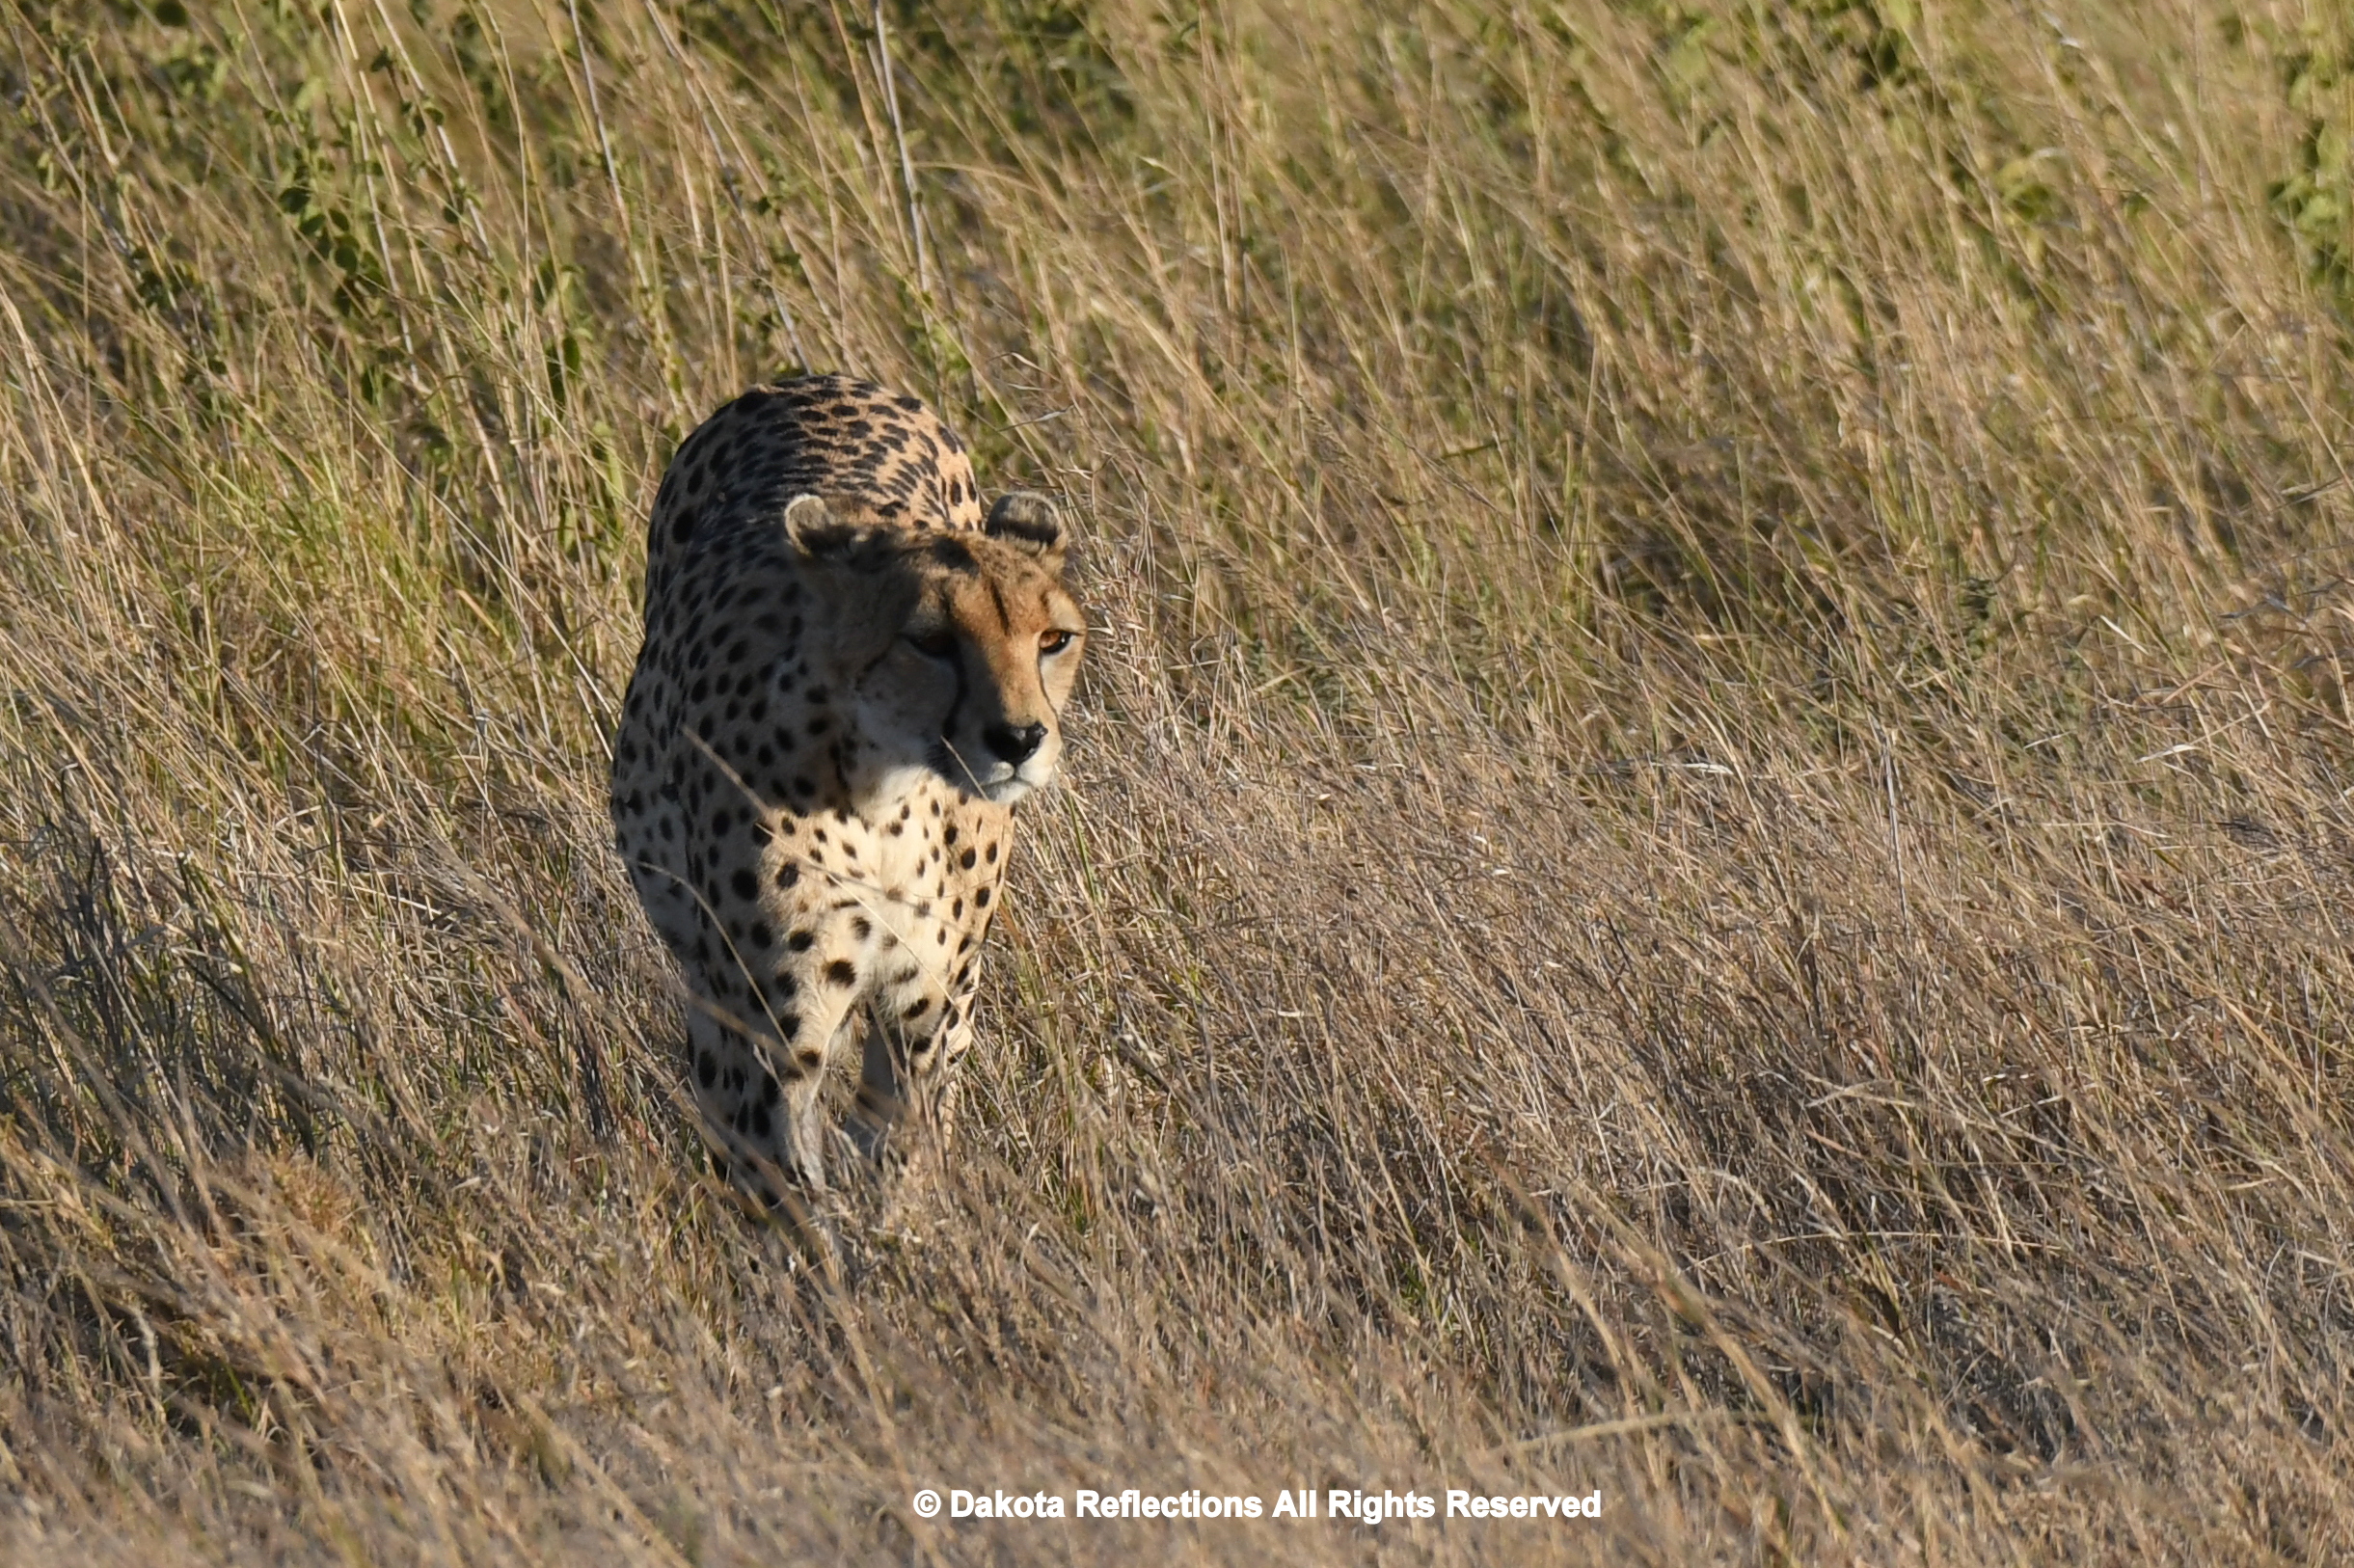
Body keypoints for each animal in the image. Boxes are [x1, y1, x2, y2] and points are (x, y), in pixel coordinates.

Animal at [607, 374, 1085, 1202]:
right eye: (931, 641)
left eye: (1052, 640)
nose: (1020, 739)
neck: (886, 792)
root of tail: (811, 380)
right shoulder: (772, 1042)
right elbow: (790, 1191)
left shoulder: (925, 1015)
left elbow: (900, 1153)